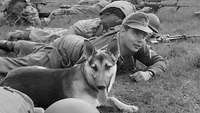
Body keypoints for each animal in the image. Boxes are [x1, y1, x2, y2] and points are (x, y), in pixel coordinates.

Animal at [0, 38, 138, 112]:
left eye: (108, 66)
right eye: (94, 67)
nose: (101, 87)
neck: (87, 81)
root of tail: (5, 79)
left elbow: (113, 98)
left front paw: (127, 106)